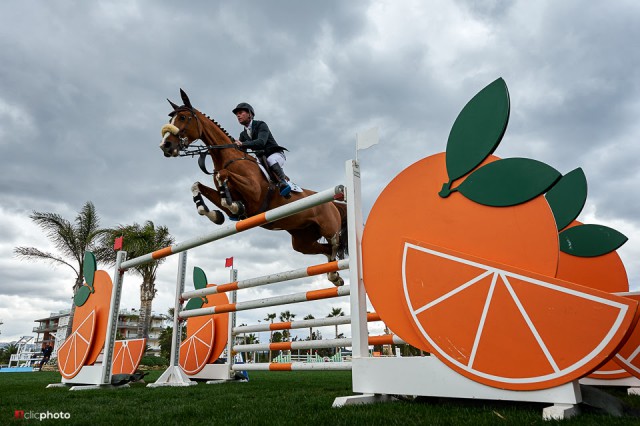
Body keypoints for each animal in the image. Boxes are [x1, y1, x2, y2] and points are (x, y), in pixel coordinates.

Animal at [160, 91, 350, 288]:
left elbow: (223, 176)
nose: (165, 146)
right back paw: (334, 275)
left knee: (335, 243)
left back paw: (334, 274)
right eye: (171, 118)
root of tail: (334, 204)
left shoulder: (254, 192)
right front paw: (215, 214)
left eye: (183, 117)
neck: (227, 157)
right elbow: (198, 186)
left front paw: (233, 205)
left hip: (328, 226)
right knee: (326, 250)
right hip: (302, 240)